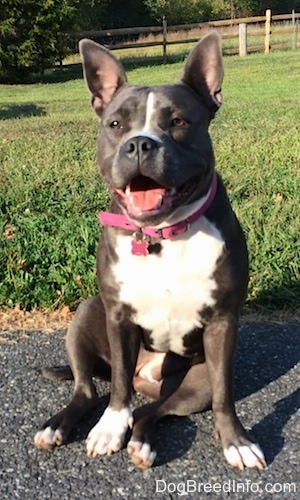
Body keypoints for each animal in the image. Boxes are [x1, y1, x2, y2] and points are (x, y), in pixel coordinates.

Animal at [34, 30, 266, 468]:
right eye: (115, 124)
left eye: (178, 122)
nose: (139, 144)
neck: (162, 235)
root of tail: (149, 376)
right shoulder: (119, 317)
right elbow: (118, 390)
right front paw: (109, 428)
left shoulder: (223, 324)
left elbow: (225, 395)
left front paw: (237, 442)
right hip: (86, 313)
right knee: (92, 390)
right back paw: (59, 426)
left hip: (193, 384)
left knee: (152, 410)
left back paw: (141, 444)